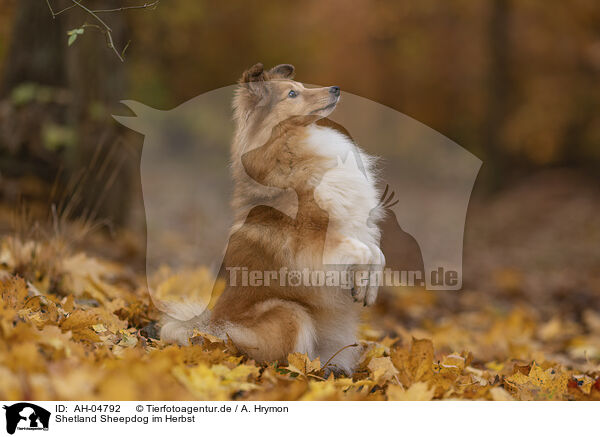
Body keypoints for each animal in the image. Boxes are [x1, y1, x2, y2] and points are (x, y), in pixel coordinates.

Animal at [161, 63, 384, 372]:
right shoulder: (313, 248)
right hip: (289, 312)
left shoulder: (355, 226)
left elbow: (377, 253)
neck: (290, 149)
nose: (335, 89)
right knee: (273, 358)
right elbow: (363, 251)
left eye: (300, 87)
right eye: (292, 94)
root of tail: (208, 331)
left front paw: (369, 288)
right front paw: (362, 284)